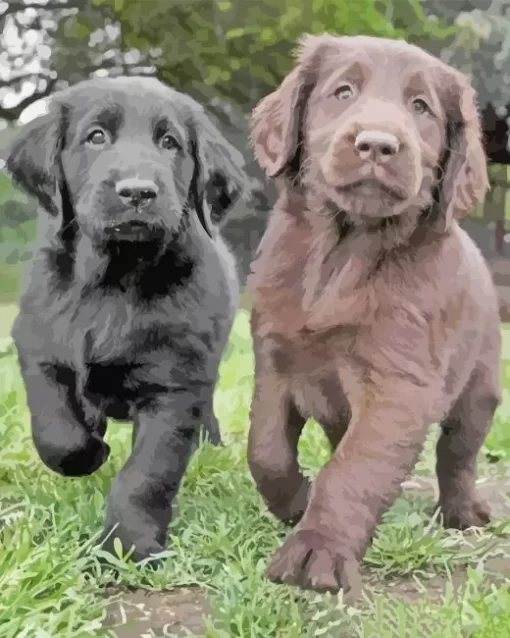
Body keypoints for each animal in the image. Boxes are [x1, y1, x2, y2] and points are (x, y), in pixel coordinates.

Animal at [6, 77, 247, 564]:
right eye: (96, 136)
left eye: (170, 143)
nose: (137, 191)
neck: (114, 279)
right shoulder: (38, 348)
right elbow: (56, 432)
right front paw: (90, 449)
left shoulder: (175, 386)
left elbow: (146, 474)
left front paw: (128, 544)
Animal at [247, 32, 502, 596]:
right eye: (343, 91)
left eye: (421, 108)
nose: (378, 144)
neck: (344, 250)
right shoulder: (274, 358)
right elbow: (266, 449)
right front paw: (295, 501)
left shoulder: (398, 383)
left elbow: (354, 468)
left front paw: (318, 550)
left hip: (479, 388)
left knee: (458, 456)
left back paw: (463, 511)